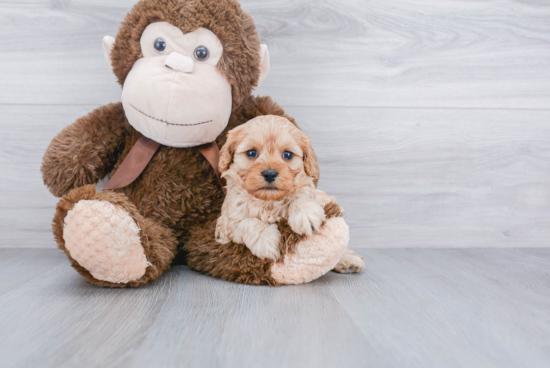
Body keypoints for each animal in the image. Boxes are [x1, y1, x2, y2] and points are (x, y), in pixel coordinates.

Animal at [217, 115, 366, 274]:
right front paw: (266, 240)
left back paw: (349, 261)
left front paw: (305, 214)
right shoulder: (226, 223)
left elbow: (302, 194)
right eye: (251, 153)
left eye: (287, 155)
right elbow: (247, 222)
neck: (269, 201)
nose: (270, 174)